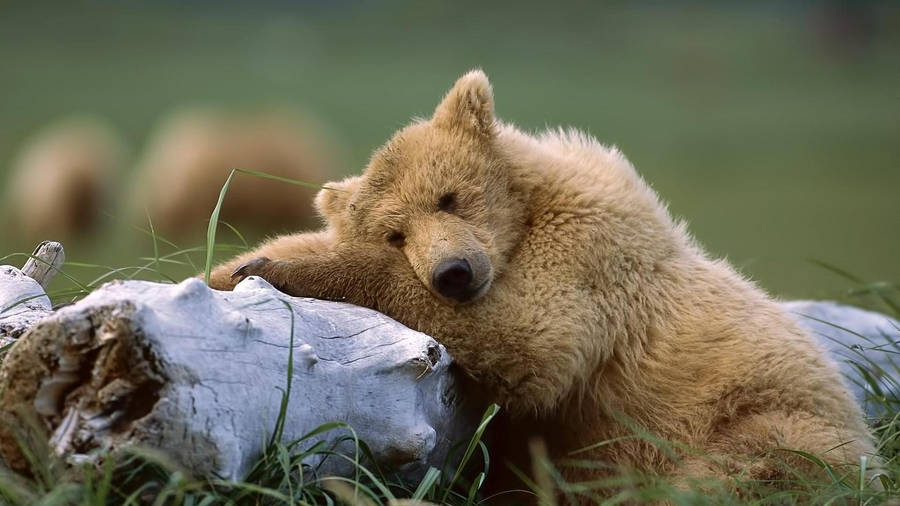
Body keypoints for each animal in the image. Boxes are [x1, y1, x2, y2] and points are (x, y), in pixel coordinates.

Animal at [208, 71, 875, 494]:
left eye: (448, 197)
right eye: (396, 232)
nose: (452, 274)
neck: (525, 217)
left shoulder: (589, 254)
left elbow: (531, 337)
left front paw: (277, 269)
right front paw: (232, 265)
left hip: (769, 420)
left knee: (742, 471)